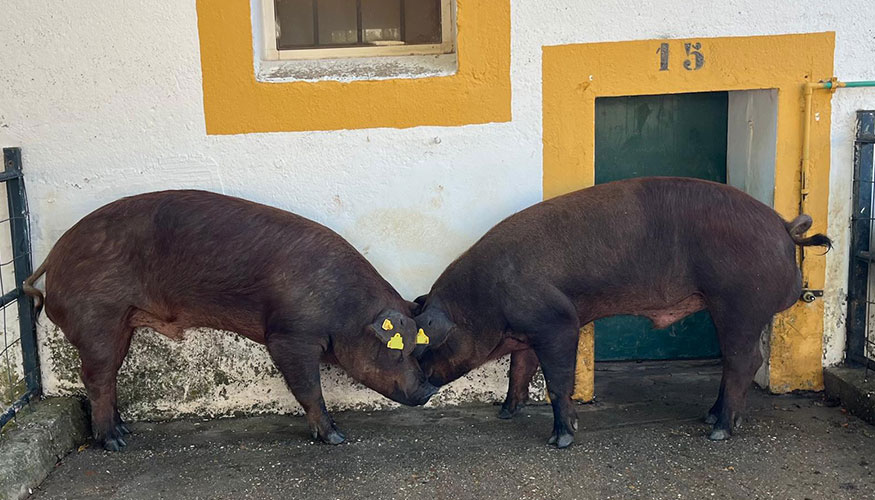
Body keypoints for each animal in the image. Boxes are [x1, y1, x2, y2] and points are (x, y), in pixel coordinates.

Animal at [24, 189, 438, 452]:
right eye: (399, 352)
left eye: (418, 347)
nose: (429, 389)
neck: (344, 311)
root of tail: (53, 257)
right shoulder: (289, 336)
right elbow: (307, 388)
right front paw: (336, 437)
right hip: (98, 319)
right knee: (96, 378)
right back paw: (114, 443)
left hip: (122, 324)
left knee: (107, 377)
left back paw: (123, 430)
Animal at [414, 177, 832, 450]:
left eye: (425, 348)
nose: (416, 388)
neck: (481, 303)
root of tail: (784, 226)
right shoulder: (527, 331)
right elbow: (520, 369)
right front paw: (506, 413)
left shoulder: (557, 322)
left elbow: (556, 380)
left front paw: (561, 439)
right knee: (734, 363)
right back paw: (709, 418)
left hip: (739, 302)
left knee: (745, 361)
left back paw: (718, 432)